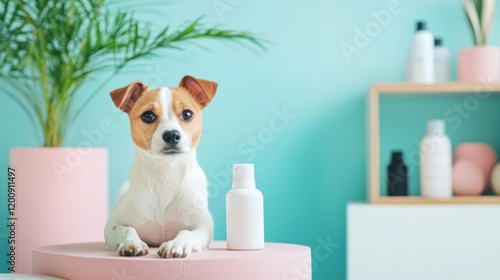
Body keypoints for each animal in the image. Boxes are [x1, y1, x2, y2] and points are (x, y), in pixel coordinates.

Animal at [104, 75, 216, 258]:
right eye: (148, 116)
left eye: (187, 114)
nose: (171, 135)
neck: (165, 174)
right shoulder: (113, 224)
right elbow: (127, 229)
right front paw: (132, 243)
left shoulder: (203, 226)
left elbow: (186, 232)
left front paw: (176, 244)